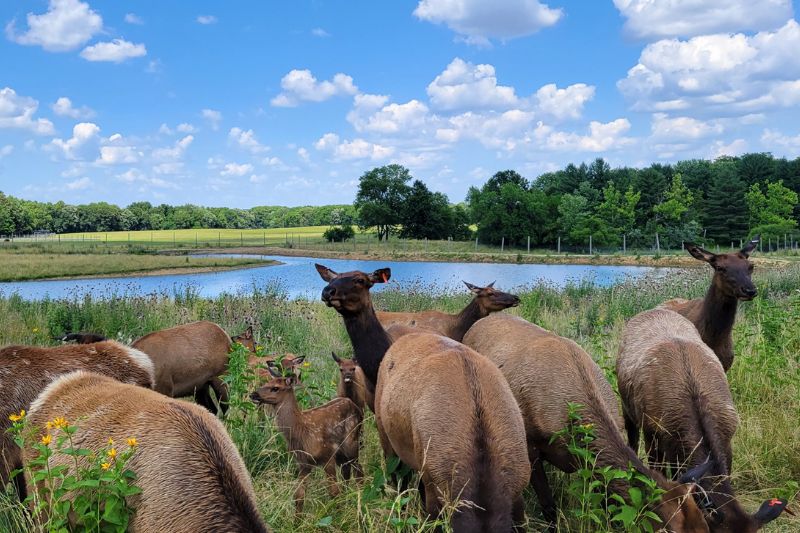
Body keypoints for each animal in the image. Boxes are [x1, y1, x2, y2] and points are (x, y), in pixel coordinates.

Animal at [250, 373, 362, 514]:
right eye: (265, 383)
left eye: (275, 388)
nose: (253, 394)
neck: (302, 431)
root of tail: (354, 405)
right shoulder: (303, 463)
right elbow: (299, 496)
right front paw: (297, 519)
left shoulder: (327, 455)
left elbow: (333, 492)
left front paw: (338, 515)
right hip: (341, 454)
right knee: (346, 471)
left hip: (352, 443)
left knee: (358, 472)